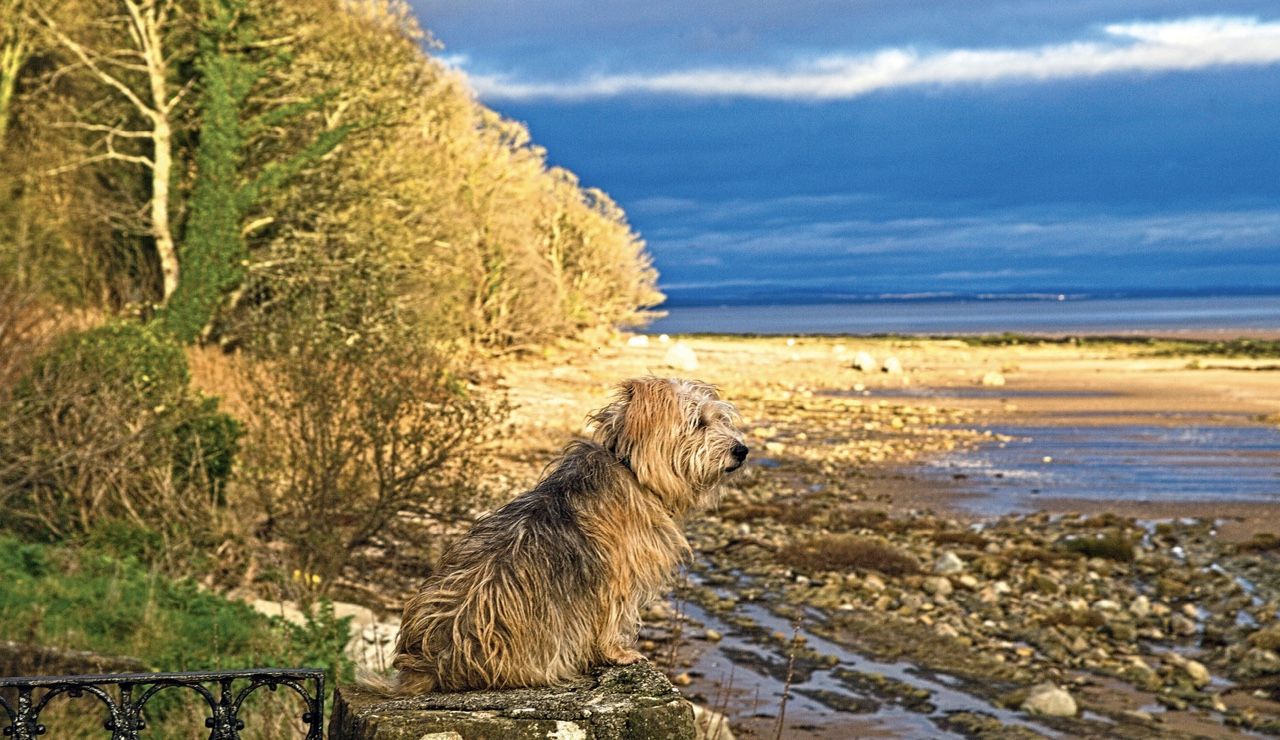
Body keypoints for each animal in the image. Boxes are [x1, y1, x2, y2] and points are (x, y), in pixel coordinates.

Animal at [389, 373, 747, 691]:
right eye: (699, 423)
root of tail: (433, 663)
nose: (742, 450)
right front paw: (618, 654)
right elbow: (614, 616)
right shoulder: (618, 578)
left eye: (721, 419)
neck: (630, 466)